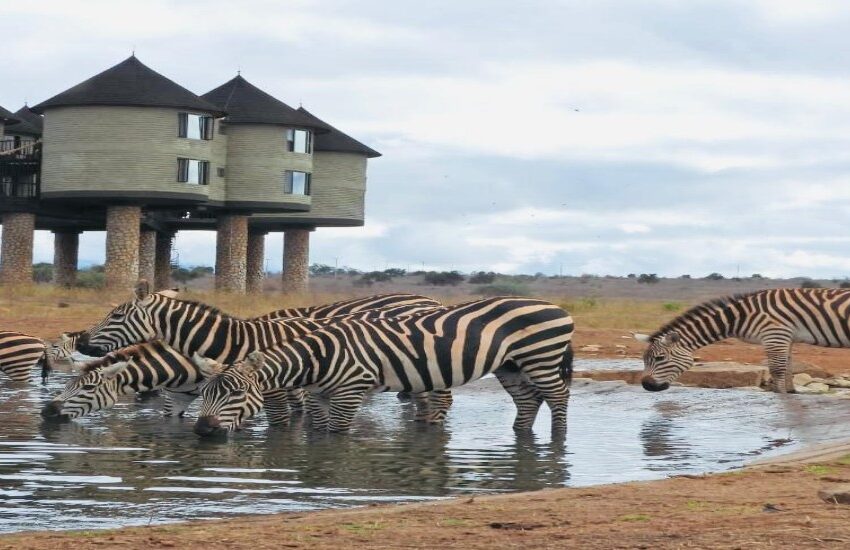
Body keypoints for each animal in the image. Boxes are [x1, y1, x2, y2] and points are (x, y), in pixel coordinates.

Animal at [192, 300, 572, 438]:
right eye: (203, 393)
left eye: (238, 393)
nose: (203, 430)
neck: (319, 358)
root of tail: (555, 306)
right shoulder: (320, 396)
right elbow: (318, 433)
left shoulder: (350, 392)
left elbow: (337, 435)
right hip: (510, 365)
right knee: (528, 401)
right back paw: (520, 435)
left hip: (541, 357)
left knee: (558, 396)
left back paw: (558, 438)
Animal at [636, 288, 850, 396]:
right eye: (644, 360)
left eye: (660, 358)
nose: (646, 386)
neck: (740, 317)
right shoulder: (785, 337)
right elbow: (788, 366)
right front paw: (791, 391)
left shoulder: (775, 334)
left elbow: (777, 370)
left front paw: (780, 396)